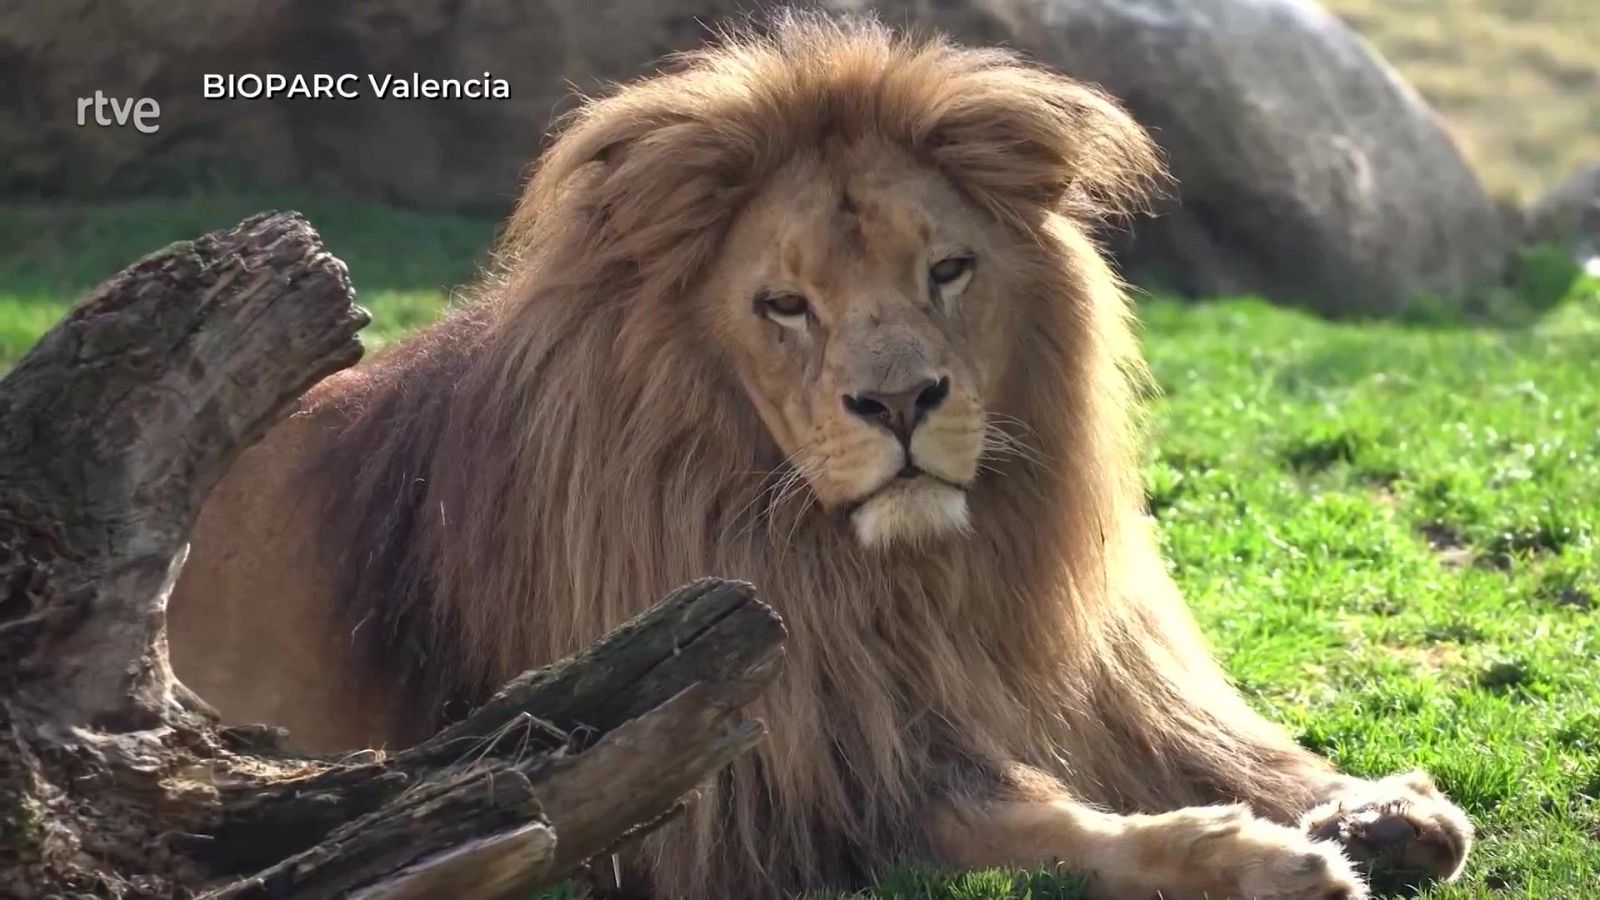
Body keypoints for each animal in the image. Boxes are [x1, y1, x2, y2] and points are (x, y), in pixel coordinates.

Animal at [167, 14, 1473, 900]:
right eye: (784, 305)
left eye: (946, 269)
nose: (898, 400)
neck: (906, 578)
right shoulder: (759, 790)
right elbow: (1034, 821)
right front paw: (1259, 858)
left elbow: (1218, 743)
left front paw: (1375, 806)